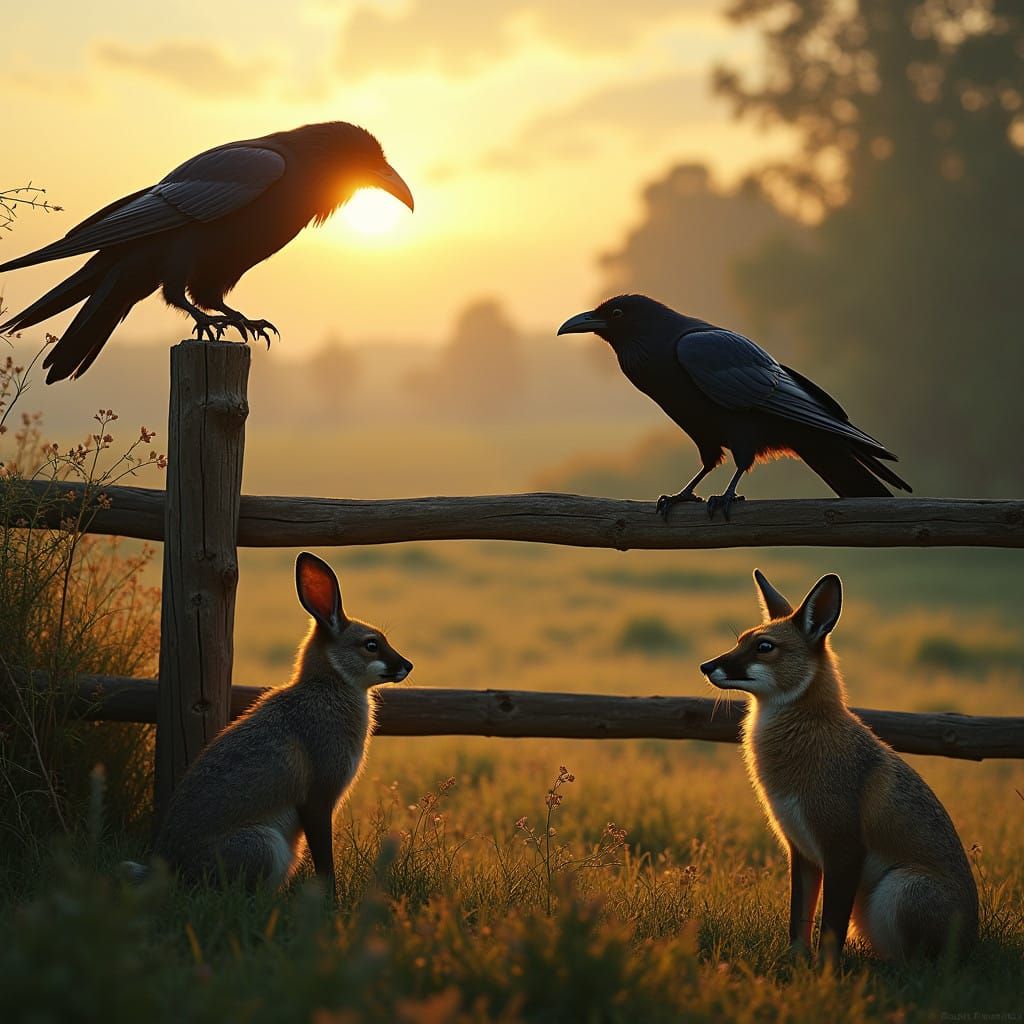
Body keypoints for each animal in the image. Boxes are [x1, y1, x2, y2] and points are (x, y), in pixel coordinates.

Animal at [123, 552, 412, 893]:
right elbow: (324, 861)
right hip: (265, 844)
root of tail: (171, 869)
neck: (329, 686)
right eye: (371, 645)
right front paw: (332, 901)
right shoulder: (318, 799)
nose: (408, 665)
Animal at [700, 569, 978, 964]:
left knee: (919, 965)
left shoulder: (842, 850)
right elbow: (798, 922)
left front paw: (825, 973)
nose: (705, 666)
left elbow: (830, 930)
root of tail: (974, 943)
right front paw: (795, 964)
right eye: (740, 641)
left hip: (899, 889)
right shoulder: (801, 851)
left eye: (764, 647)